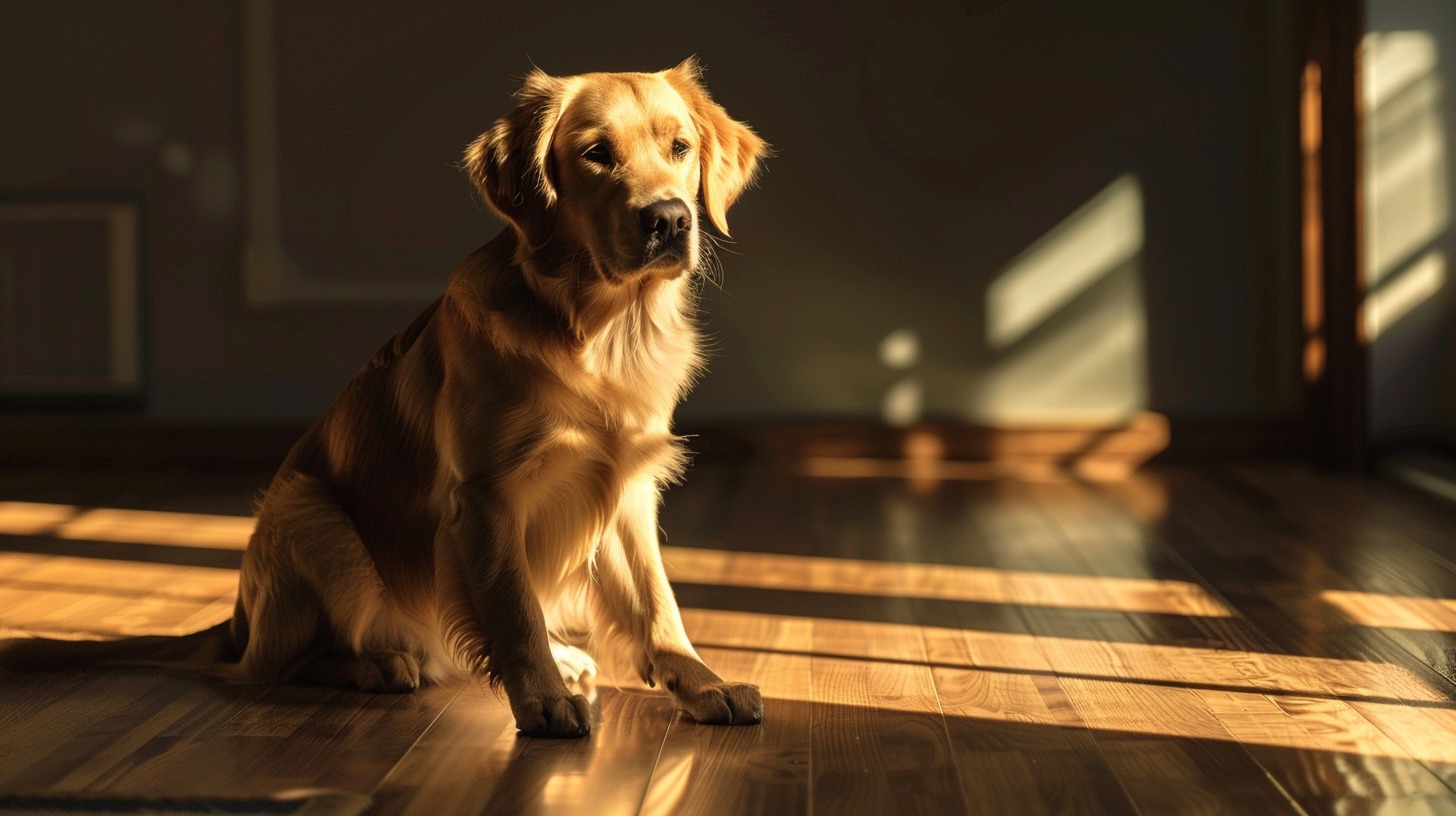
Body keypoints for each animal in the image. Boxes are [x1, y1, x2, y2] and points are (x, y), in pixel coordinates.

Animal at [0, 62, 768, 740]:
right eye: (596, 154)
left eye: (680, 147)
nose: (669, 219)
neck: (603, 332)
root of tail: (236, 624)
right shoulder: (484, 497)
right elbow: (514, 610)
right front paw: (543, 701)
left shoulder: (627, 488)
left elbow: (659, 607)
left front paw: (705, 684)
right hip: (310, 511)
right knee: (276, 667)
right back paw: (380, 663)